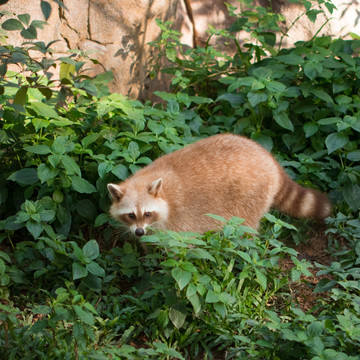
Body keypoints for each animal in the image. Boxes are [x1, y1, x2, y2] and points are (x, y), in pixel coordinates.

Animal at [107, 134, 332, 238]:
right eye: (130, 215)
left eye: (147, 213)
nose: (139, 232)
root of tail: (268, 159)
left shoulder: (180, 220)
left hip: (252, 196)